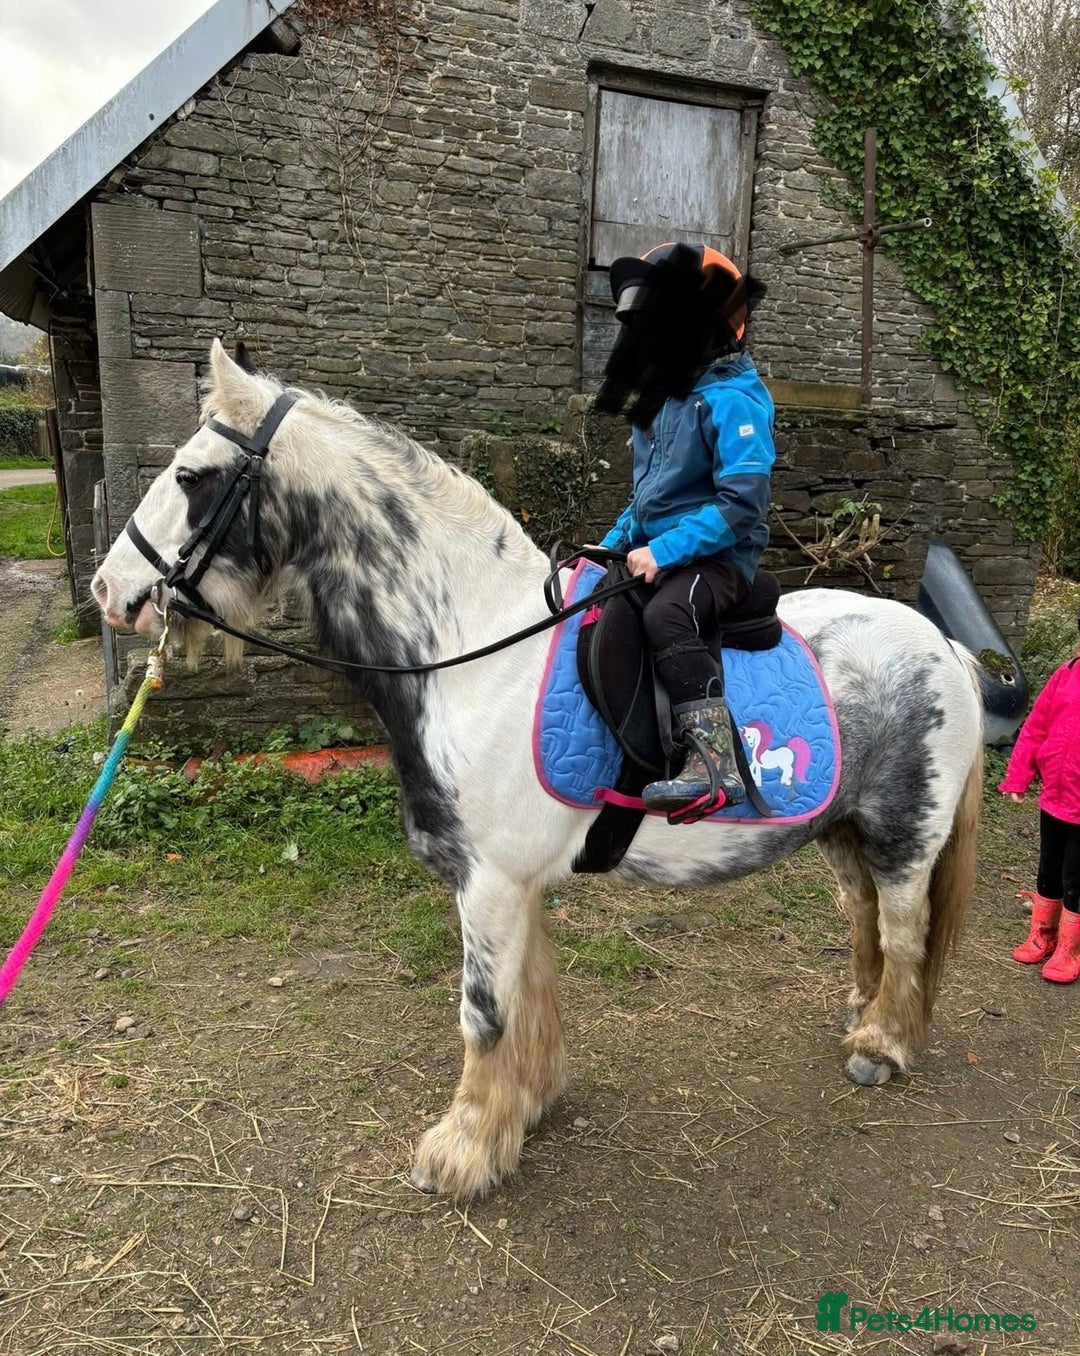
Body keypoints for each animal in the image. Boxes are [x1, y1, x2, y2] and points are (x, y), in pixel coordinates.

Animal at [92, 340, 985, 1199]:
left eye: (191, 475)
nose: (110, 589)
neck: (472, 651)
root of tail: (949, 648)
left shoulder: (489, 881)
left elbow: (483, 1013)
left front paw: (462, 1152)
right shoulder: (513, 884)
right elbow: (530, 994)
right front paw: (527, 1106)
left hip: (904, 838)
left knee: (902, 932)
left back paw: (883, 1044)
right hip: (841, 829)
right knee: (863, 918)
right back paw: (860, 1012)